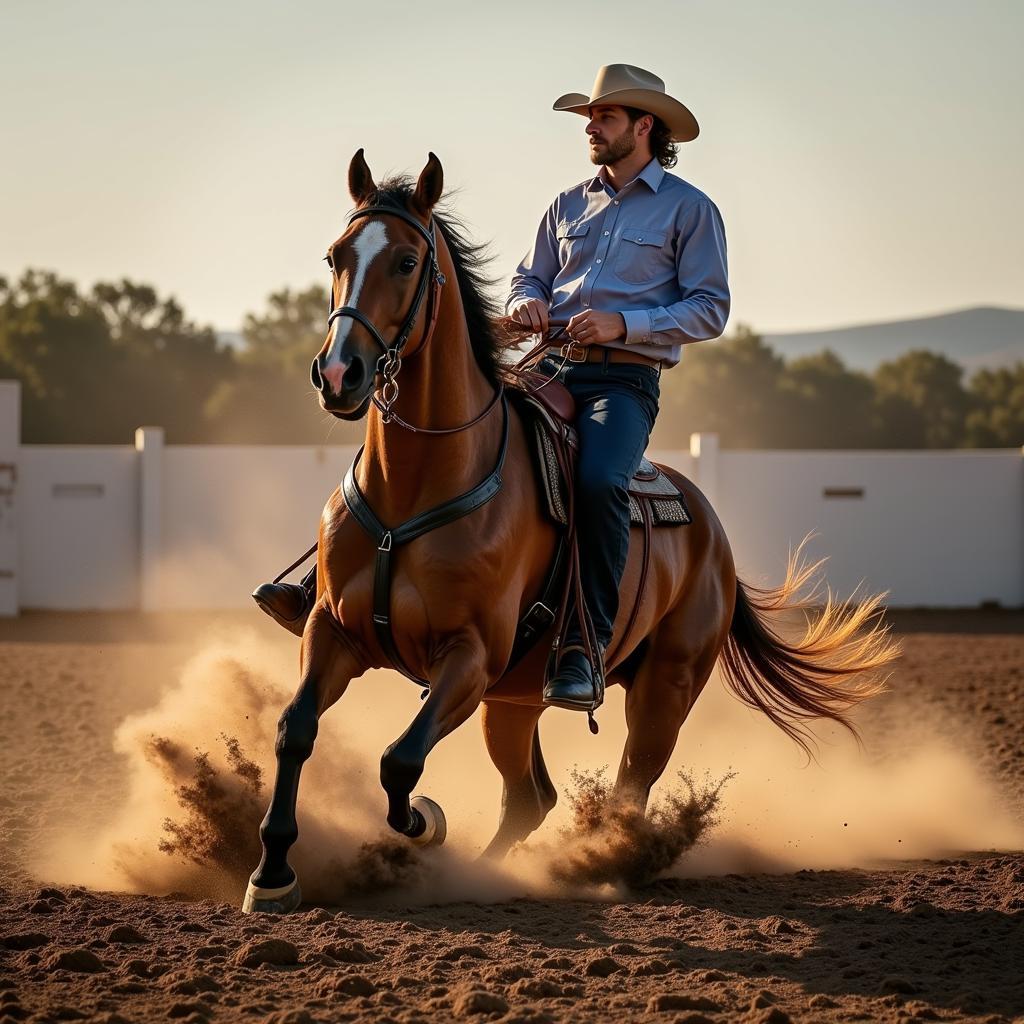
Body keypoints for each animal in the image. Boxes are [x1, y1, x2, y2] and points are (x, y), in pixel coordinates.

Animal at [239, 149, 897, 913]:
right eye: (336, 256)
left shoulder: (469, 656)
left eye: (405, 261)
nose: (340, 372)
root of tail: (713, 533)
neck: (414, 486)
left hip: (661, 688)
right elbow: (295, 730)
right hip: (514, 701)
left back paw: (599, 862)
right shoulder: (333, 632)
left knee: (628, 791)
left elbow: (400, 760)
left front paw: (424, 824)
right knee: (531, 798)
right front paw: (272, 871)